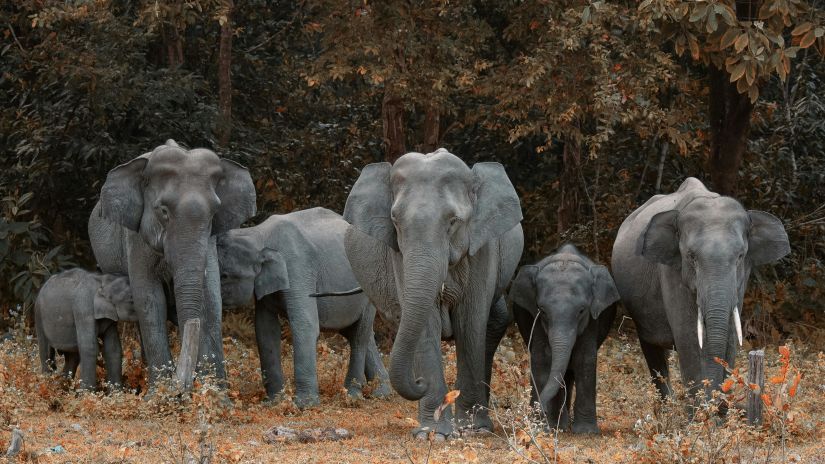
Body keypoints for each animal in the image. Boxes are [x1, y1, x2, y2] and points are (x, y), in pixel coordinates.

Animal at [86, 140, 254, 386]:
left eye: (214, 212)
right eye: (163, 211)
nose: (186, 386)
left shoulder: (209, 241)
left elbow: (211, 298)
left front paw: (216, 393)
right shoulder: (136, 238)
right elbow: (150, 299)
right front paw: (161, 393)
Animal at [216, 207, 390, 406]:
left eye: (225, 276)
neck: (258, 233)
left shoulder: (298, 266)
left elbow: (305, 324)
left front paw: (303, 405)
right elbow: (265, 329)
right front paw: (274, 402)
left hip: (368, 286)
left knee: (359, 335)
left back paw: (352, 396)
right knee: (360, 334)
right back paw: (381, 394)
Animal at [344, 149, 524, 438]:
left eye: (453, 221)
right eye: (395, 221)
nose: (419, 382)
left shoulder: (482, 248)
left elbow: (470, 323)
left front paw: (475, 431)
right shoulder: (399, 255)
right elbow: (426, 325)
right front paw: (434, 434)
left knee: (493, 323)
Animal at [508, 245, 616, 434]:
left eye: (581, 310)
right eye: (542, 310)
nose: (539, 410)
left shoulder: (592, 320)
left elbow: (584, 360)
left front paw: (586, 432)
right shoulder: (537, 322)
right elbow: (543, 359)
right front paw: (545, 427)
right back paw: (560, 424)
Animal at [612, 176, 792, 400]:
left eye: (740, 256)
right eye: (691, 256)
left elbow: (730, 337)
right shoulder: (672, 272)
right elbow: (689, 339)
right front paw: (700, 408)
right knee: (652, 350)